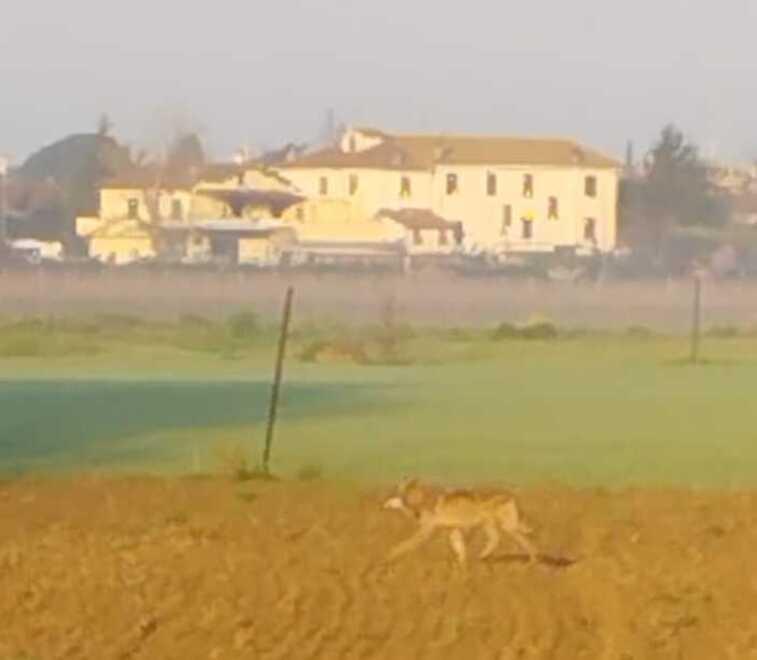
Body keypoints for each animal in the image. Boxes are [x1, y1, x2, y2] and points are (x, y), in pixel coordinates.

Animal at [382, 478, 537, 567]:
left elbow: (403, 545)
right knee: (517, 541)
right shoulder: (453, 530)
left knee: (506, 540)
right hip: (497, 526)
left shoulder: (426, 531)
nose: (382, 502)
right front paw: (461, 568)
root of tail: (511, 495)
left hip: (500, 525)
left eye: (392, 494)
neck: (418, 500)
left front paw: (389, 558)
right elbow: (460, 549)